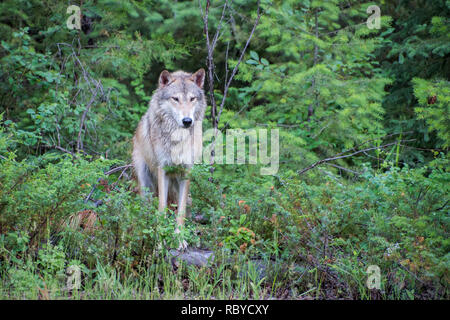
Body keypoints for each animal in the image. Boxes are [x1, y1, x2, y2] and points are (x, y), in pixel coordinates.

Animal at [132, 69, 206, 250]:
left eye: (192, 99)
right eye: (175, 98)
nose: (187, 121)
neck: (177, 138)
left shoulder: (186, 173)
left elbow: (180, 212)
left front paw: (179, 240)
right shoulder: (163, 172)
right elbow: (161, 209)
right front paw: (159, 243)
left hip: (185, 194)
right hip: (145, 184)